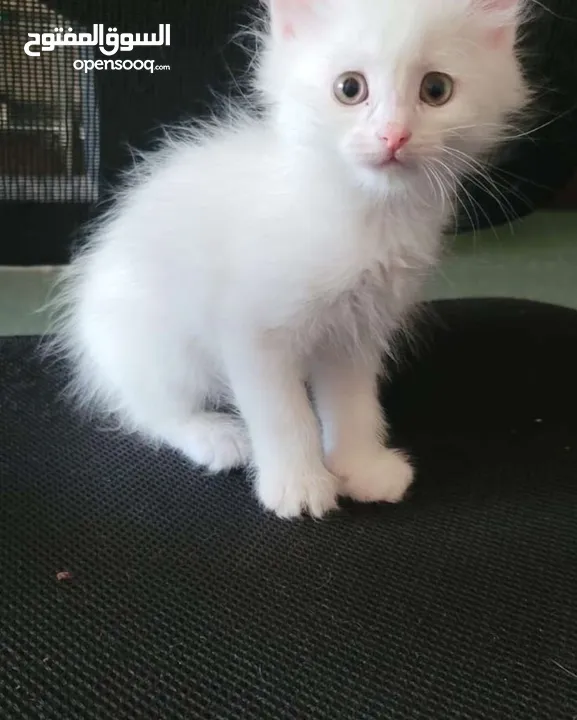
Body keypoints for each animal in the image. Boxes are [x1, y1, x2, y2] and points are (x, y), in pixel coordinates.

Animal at [48, 0, 528, 516]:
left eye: (436, 89)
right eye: (350, 88)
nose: (393, 136)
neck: (364, 214)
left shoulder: (356, 332)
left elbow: (354, 404)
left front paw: (361, 466)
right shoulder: (251, 332)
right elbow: (283, 414)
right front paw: (298, 484)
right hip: (160, 345)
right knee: (150, 409)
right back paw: (212, 435)